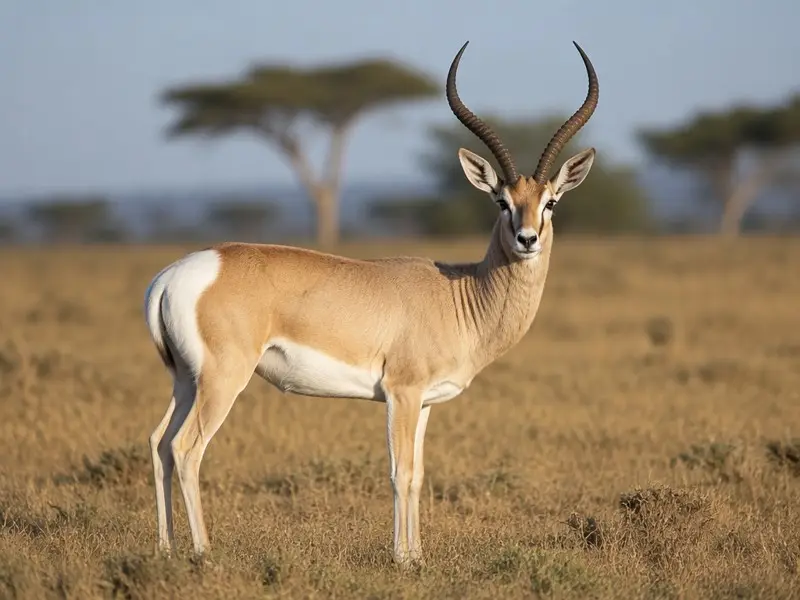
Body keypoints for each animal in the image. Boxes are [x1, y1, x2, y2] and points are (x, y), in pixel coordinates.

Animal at [144, 40, 599, 566]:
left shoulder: (424, 402)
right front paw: (402, 559)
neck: (458, 294)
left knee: (159, 442)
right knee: (186, 448)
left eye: (550, 202)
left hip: (184, 380)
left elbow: (418, 475)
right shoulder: (401, 393)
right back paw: (203, 552)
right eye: (502, 201)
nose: (527, 240)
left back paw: (165, 549)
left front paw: (417, 556)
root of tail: (173, 275)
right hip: (222, 380)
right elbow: (400, 472)